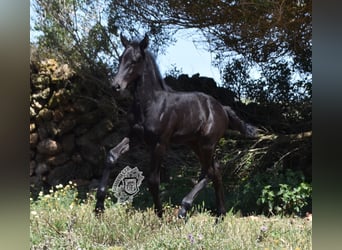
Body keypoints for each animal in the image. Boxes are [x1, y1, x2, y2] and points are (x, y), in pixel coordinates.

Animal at [95, 33, 258, 219]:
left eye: (135, 61)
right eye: (120, 58)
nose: (116, 86)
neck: (150, 103)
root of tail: (222, 108)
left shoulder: (160, 143)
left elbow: (153, 180)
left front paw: (160, 214)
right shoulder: (134, 136)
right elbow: (111, 156)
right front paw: (99, 206)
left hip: (207, 144)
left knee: (209, 171)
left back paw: (184, 210)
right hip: (195, 144)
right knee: (214, 170)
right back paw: (219, 216)